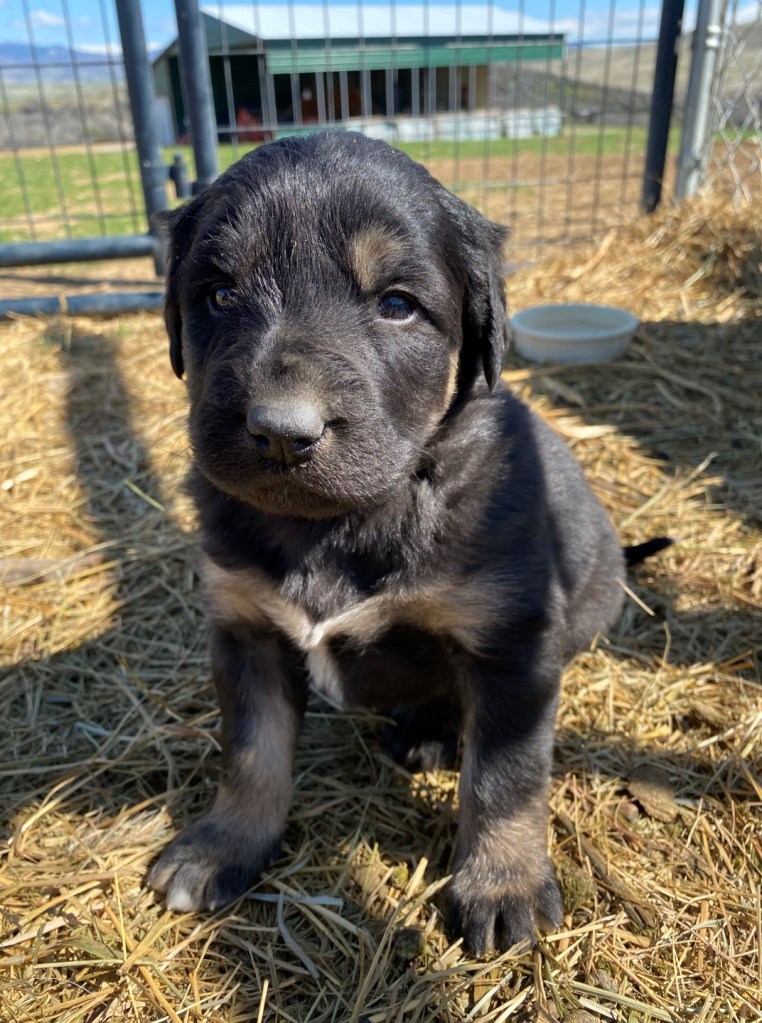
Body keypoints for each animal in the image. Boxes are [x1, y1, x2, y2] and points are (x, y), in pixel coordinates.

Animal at [148, 132, 667, 955]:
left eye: (397, 305)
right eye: (220, 295)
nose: (281, 432)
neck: (345, 519)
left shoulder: (513, 642)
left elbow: (505, 774)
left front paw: (502, 884)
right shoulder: (245, 628)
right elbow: (252, 754)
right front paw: (223, 845)